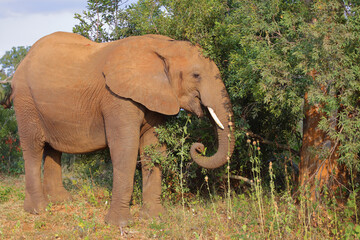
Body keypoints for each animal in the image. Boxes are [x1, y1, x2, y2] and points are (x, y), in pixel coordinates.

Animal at [9, 32, 235, 227]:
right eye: (196, 75)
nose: (199, 147)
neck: (163, 46)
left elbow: (153, 148)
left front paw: (154, 218)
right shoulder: (117, 98)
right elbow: (125, 148)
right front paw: (119, 224)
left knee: (53, 149)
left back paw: (61, 202)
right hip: (25, 99)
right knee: (34, 146)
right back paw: (38, 210)